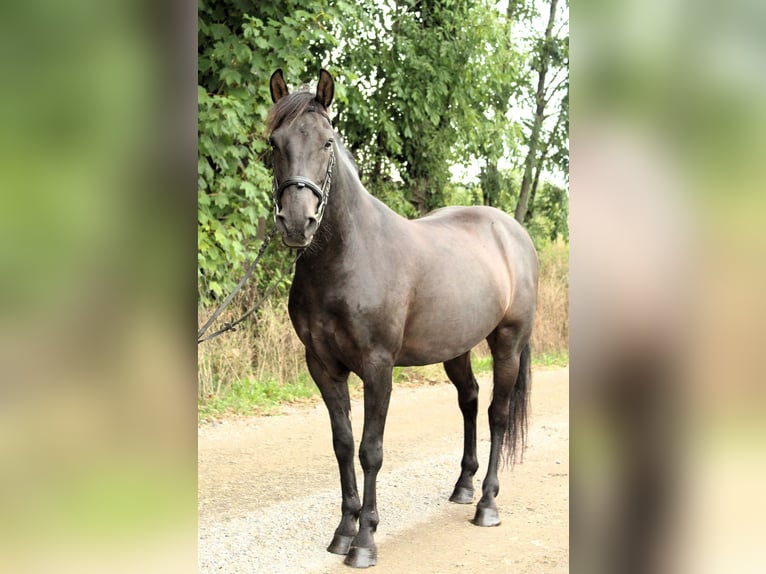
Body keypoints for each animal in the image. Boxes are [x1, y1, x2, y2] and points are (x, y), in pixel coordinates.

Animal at [267, 68, 538, 568]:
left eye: (327, 142)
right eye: (274, 142)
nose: (297, 223)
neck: (347, 257)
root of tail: (513, 232)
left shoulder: (378, 368)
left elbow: (370, 451)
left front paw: (364, 541)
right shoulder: (323, 367)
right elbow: (343, 445)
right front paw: (343, 531)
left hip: (508, 342)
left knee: (498, 413)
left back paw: (487, 503)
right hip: (456, 346)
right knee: (470, 400)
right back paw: (463, 485)